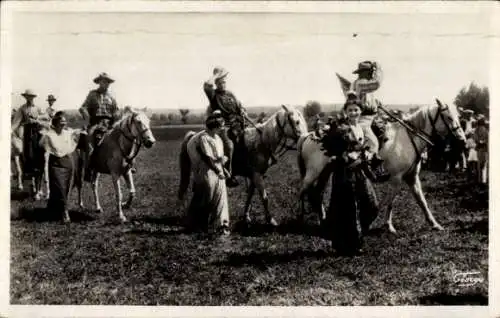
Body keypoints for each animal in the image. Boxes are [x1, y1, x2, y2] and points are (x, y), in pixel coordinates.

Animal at [178, 105, 306, 227]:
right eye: (297, 122)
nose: (304, 138)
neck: (262, 141)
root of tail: (193, 136)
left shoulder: (255, 175)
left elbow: (250, 195)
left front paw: (246, 217)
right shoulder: (257, 175)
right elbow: (264, 197)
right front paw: (271, 220)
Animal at [296, 99, 464, 234]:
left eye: (458, 117)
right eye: (449, 117)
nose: (462, 139)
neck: (408, 139)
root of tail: (309, 135)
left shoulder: (412, 178)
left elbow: (422, 201)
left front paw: (435, 224)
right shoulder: (396, 178)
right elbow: (390, 202)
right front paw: (387, 226)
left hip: (325, 172)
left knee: (317, 194)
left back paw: (323, 220)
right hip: (313, 172)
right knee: (302, 190)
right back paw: (300, 218)